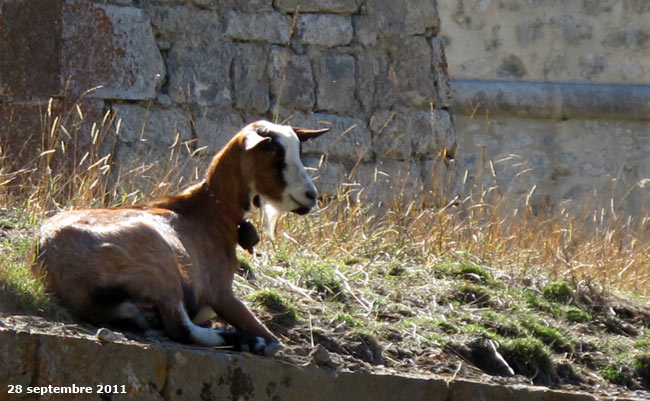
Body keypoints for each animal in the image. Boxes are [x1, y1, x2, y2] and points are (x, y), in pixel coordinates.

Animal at [34, 119, 330, 354]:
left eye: (299, 151)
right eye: (273, 152)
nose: (310, 196)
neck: (208, 212)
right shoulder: (220, 292)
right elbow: (271, 337)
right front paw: (262, 341)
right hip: (159, 264)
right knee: (180, 328)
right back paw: (249, 342)